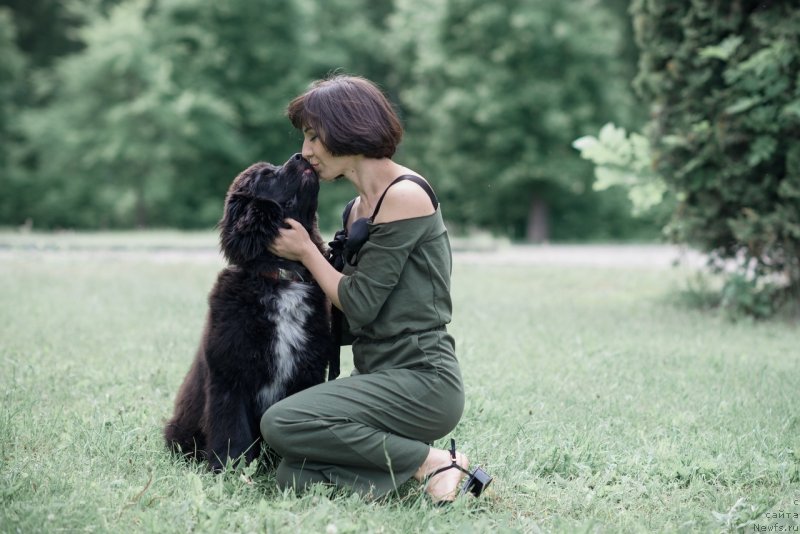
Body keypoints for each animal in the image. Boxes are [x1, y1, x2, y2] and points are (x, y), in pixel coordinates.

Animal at [164, 153, 336, 472]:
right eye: (267, 175)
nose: (301, 155)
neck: (279, 276)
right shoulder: (230, 378)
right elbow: (233, 432)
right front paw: (230, 470)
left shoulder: (306, 373)